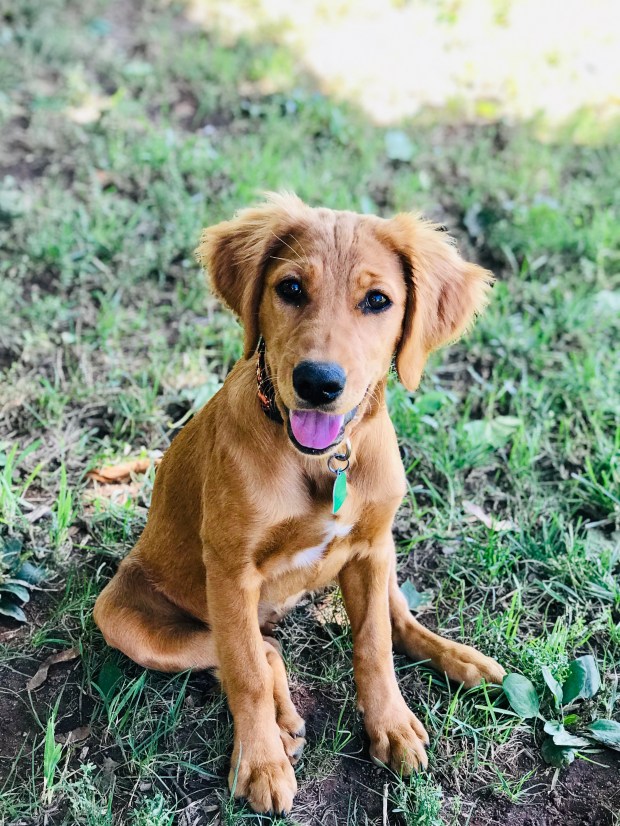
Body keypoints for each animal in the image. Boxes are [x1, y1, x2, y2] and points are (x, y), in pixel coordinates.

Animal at [94, 192, 506, 815]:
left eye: (378, 300)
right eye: (289, 289)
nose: (318, 382)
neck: (320, 462)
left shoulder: (368, 549)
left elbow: (374, 644)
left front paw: (390, 725)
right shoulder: (231, 571)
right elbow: (243, 668)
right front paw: (260, 764)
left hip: (380, 549)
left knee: (393, 619)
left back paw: (462, 660)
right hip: (124, 619)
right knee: (259, 649)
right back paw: (283, 724)